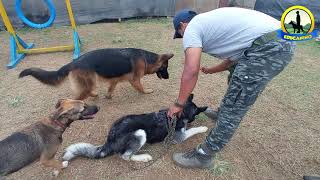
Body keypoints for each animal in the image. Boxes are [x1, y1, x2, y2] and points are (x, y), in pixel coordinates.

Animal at [18, 47, 174, 100]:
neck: (146, 58)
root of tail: (73, 63)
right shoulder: (135, 80)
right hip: (89, 83)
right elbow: (141, 87)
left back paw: (94, 95)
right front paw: (147, 91)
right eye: (165, 67)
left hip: (89, 83)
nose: (168, 77)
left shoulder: (114, 80)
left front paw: (108, 96)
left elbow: (111, 88)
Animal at [63, 95, 208, 164]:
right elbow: (192, 130)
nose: (192, 120)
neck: (180, 114)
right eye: (195, 116)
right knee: (125, 156)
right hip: (140, 133)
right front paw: (203, 127)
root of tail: (110, 140)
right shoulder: (178, 137)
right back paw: (143, 157)